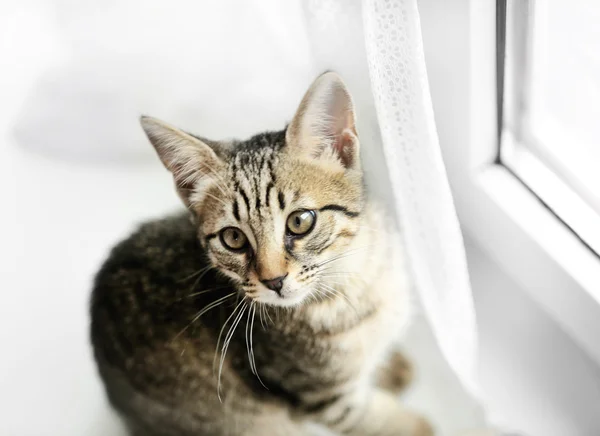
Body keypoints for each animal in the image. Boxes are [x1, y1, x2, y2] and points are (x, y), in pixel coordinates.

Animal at [90, 73, 432, 434]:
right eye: (233, 238)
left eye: (300, 221)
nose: (274, 280)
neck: (352, 279)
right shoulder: (317, 395)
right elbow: (369, 416)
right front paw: (413, 424)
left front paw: (391, 368)